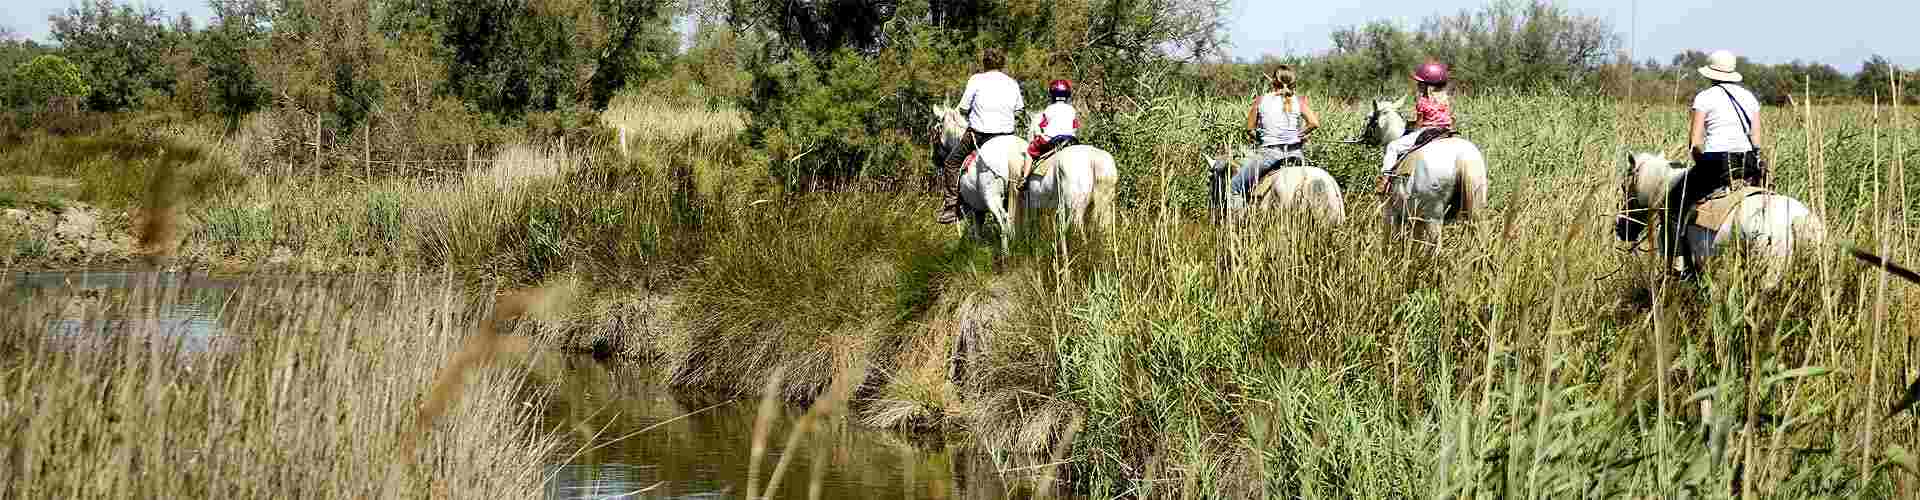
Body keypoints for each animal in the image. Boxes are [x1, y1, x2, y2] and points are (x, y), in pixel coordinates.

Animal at [1021, 112, 1121, 241]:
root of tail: (1093, 159)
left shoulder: (1033, 205)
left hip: (1075, 207)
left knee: (1078, 227)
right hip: (1104, 203)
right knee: (1105, 226)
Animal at [1359, 96, 1489, 243]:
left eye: (1368, 117)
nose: (1364, 138)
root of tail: (1462, 156)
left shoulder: (1390, 213)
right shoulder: (1417, 220)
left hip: (1433, 217)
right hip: (1476, 208)